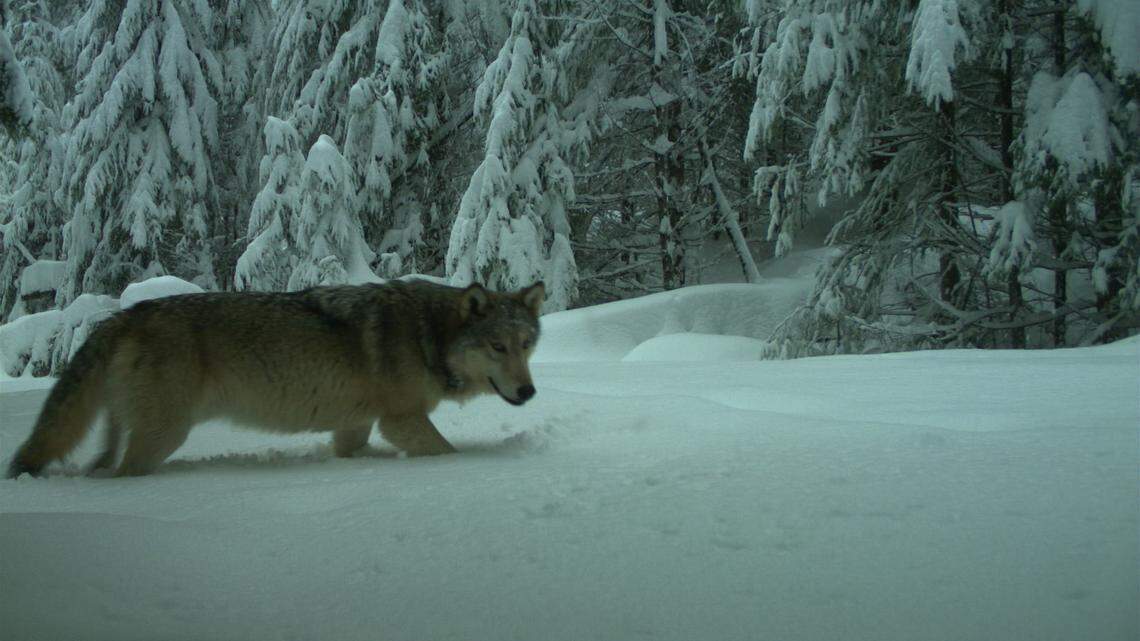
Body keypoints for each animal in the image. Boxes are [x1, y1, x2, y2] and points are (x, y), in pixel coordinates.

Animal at [6, 279, 545, 478]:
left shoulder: (355, 424)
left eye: (526, 344)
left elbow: (349, 452)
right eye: (497, 347)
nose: (528, 391)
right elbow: (446, 452)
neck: (426, 334)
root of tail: (125, 315)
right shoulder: (401, 420)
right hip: (164, 435)